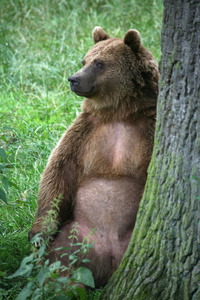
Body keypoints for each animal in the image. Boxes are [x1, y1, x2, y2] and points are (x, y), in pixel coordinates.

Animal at [28, 27, 159, 288]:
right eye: (84, 60)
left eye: (99, 63)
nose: (73, 79)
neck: (120, 112)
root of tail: (107, 261)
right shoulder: (86, 134)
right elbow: (58, 173)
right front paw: (38, 233)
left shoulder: (149, 130)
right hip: (76, 235)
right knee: (58, 261)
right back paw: (64, 284)